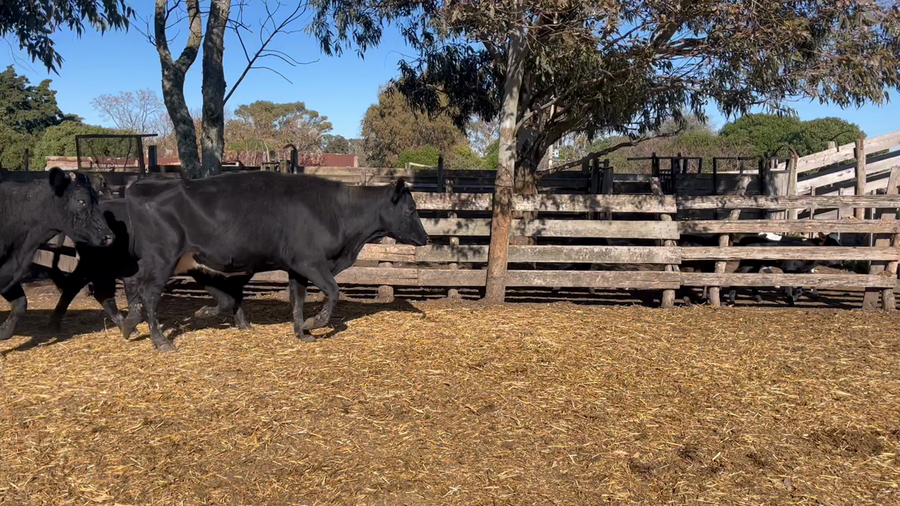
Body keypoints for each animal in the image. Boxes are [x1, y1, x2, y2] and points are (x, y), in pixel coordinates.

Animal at [47, 198, 250, 333]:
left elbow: (230, 298)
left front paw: (242, 323)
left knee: (94, 291)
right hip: (95, 264)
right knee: (78, 287)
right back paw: (56, 324)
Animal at [117, 172, 429, 352]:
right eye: (412, 209)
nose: (426, 238)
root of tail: (140, 185)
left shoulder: (296, 268)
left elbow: (297, 300)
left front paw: (302, 332)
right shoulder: (310, 262)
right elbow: (333, 292)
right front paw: (316, 323)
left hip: (187, 262)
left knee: (139, 288)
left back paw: (130, 325)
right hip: (162, 259)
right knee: (149, 295)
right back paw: (160, 341)